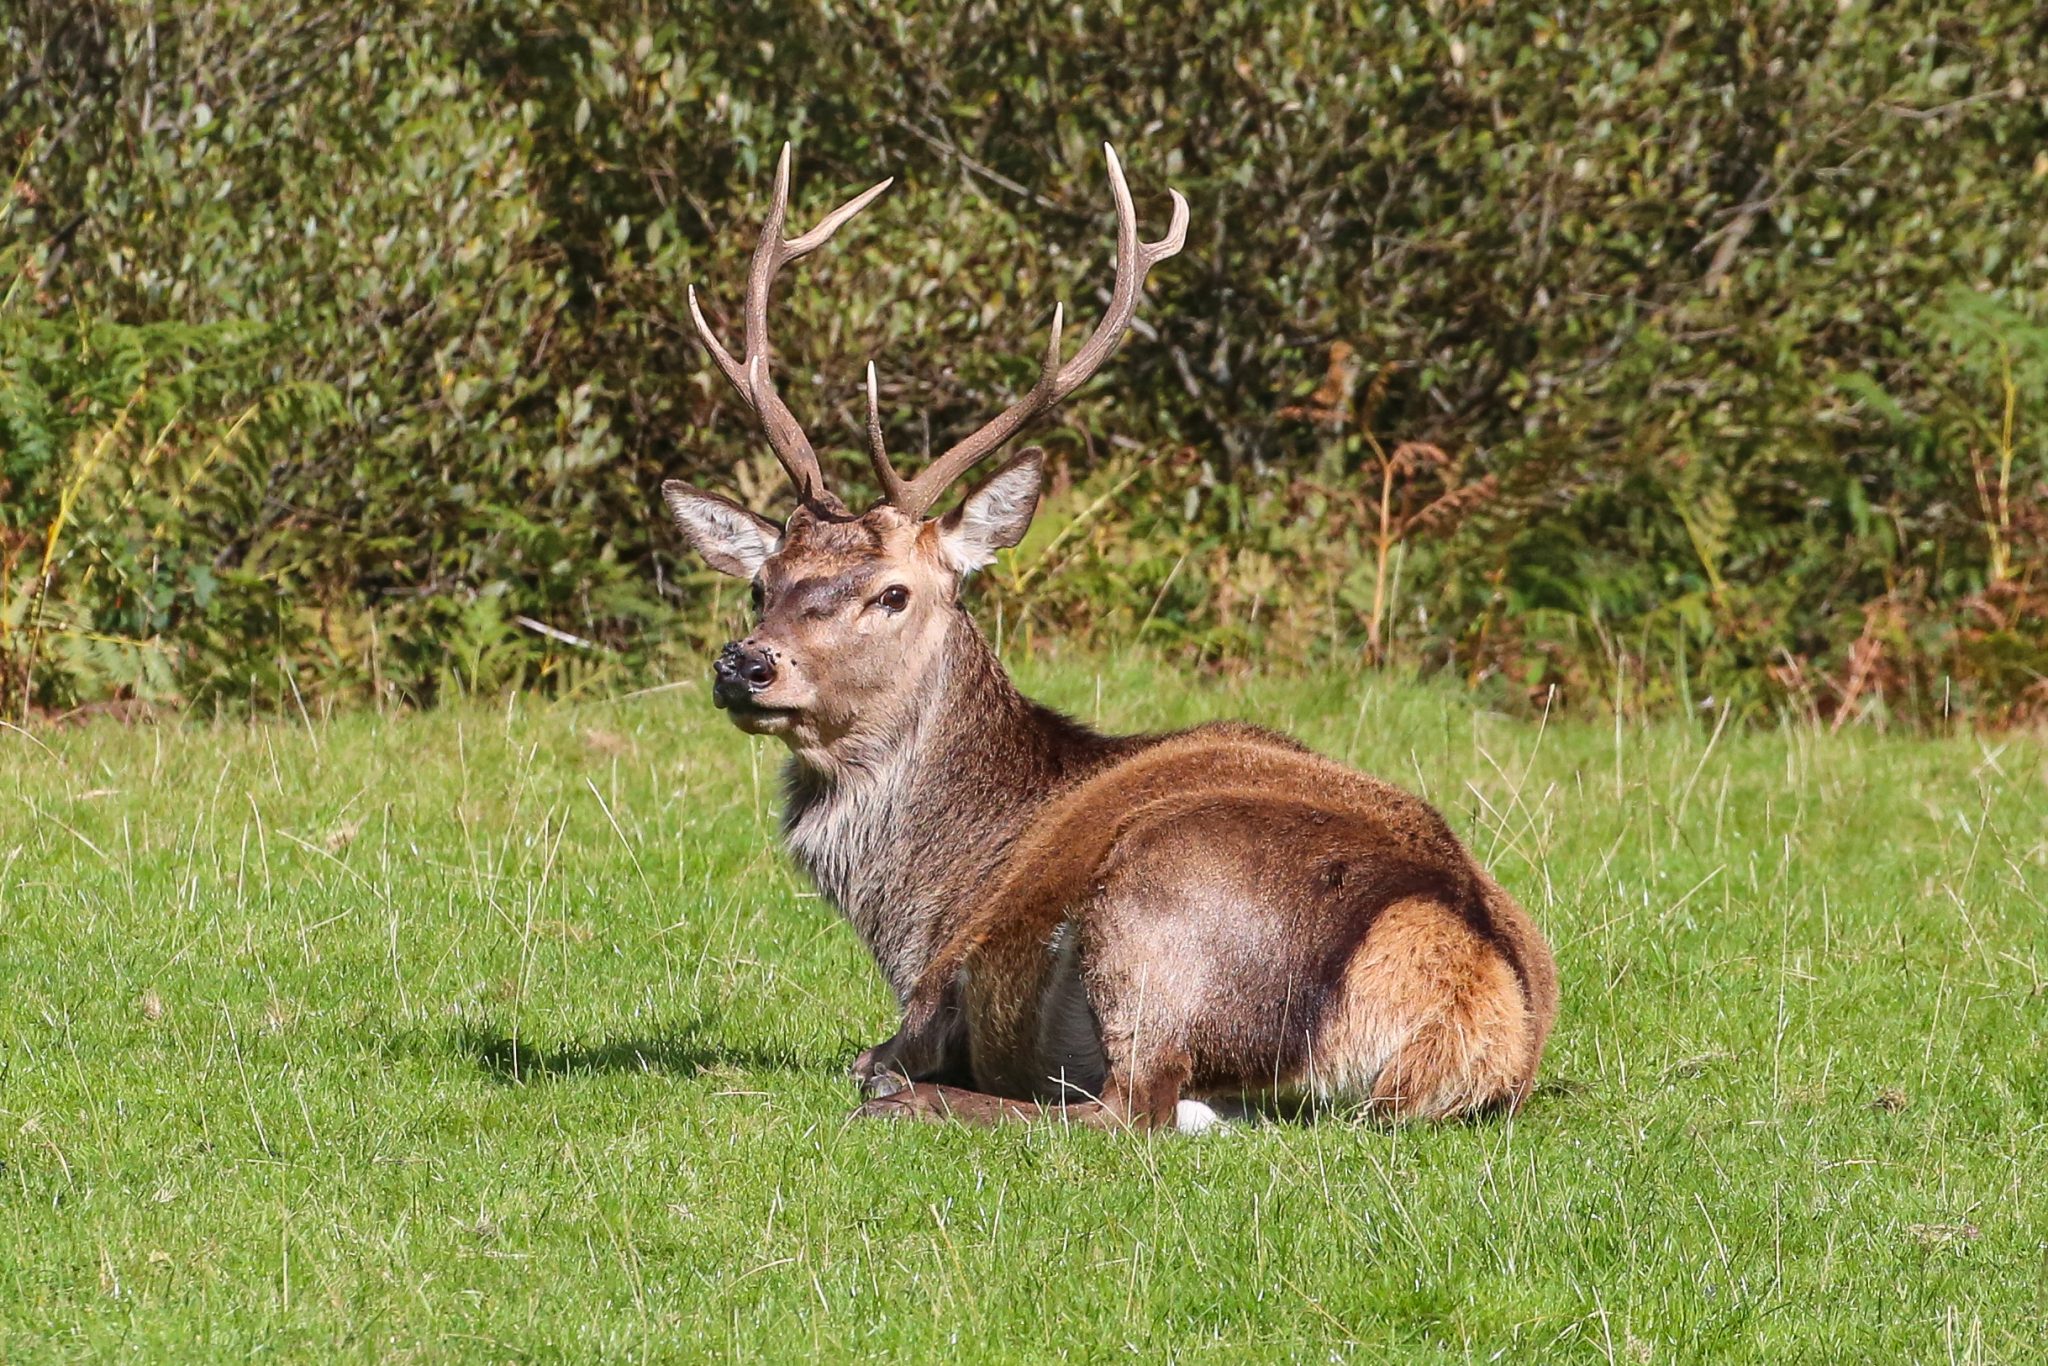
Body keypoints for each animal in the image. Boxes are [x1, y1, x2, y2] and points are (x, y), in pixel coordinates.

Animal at [661, 144, 1558, 1133]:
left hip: (1158, 912)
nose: (747, 664)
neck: (925, 902)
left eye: (892, 593)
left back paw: (917, 1103)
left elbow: (872, 1055)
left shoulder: (937, 993)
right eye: (761, 585)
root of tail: (1468, 1002)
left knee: (1126, 1109)